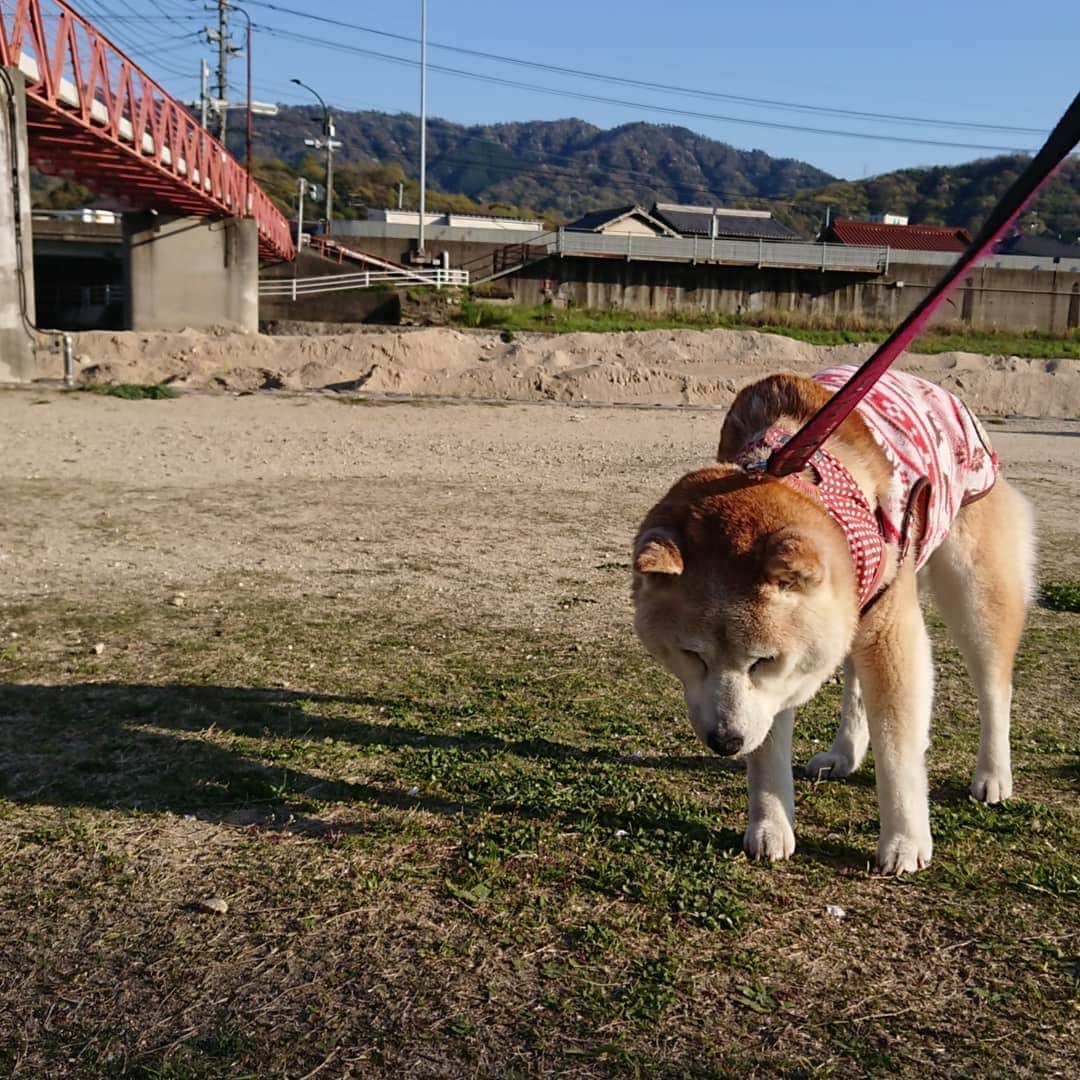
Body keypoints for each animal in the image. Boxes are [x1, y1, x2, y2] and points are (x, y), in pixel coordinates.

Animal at [630, 367, 1036, 872]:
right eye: (691, 655)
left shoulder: (889, 635)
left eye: (762, 660)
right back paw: (845, 753)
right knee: (856, 686)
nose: (725, 742)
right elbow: (767, 750)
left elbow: (898, 749)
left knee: (995, 688)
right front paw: (770, 828)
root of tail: (940, 391)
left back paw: (993, 775)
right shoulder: (788, 676)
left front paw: (905, 841)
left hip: (974, 597)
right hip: (853, 622)